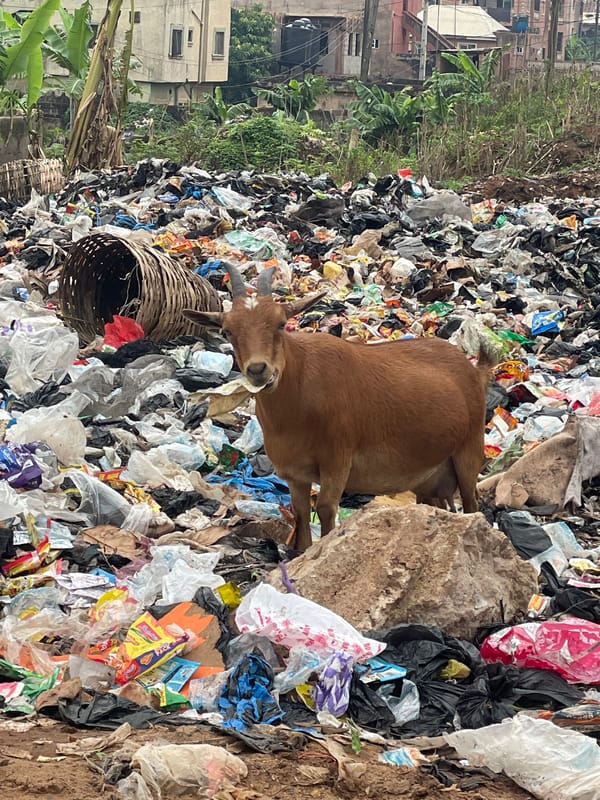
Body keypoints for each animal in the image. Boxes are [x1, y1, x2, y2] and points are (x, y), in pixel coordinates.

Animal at [184, 265, 494, 552]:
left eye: (281, 323)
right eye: (227, 331)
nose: (259, 370)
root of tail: (472, 369)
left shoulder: (337, 459)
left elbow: (325, 508)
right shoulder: (294, 472)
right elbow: (300, 512)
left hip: (469, 450)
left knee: (472, 502)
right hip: (431, 477)